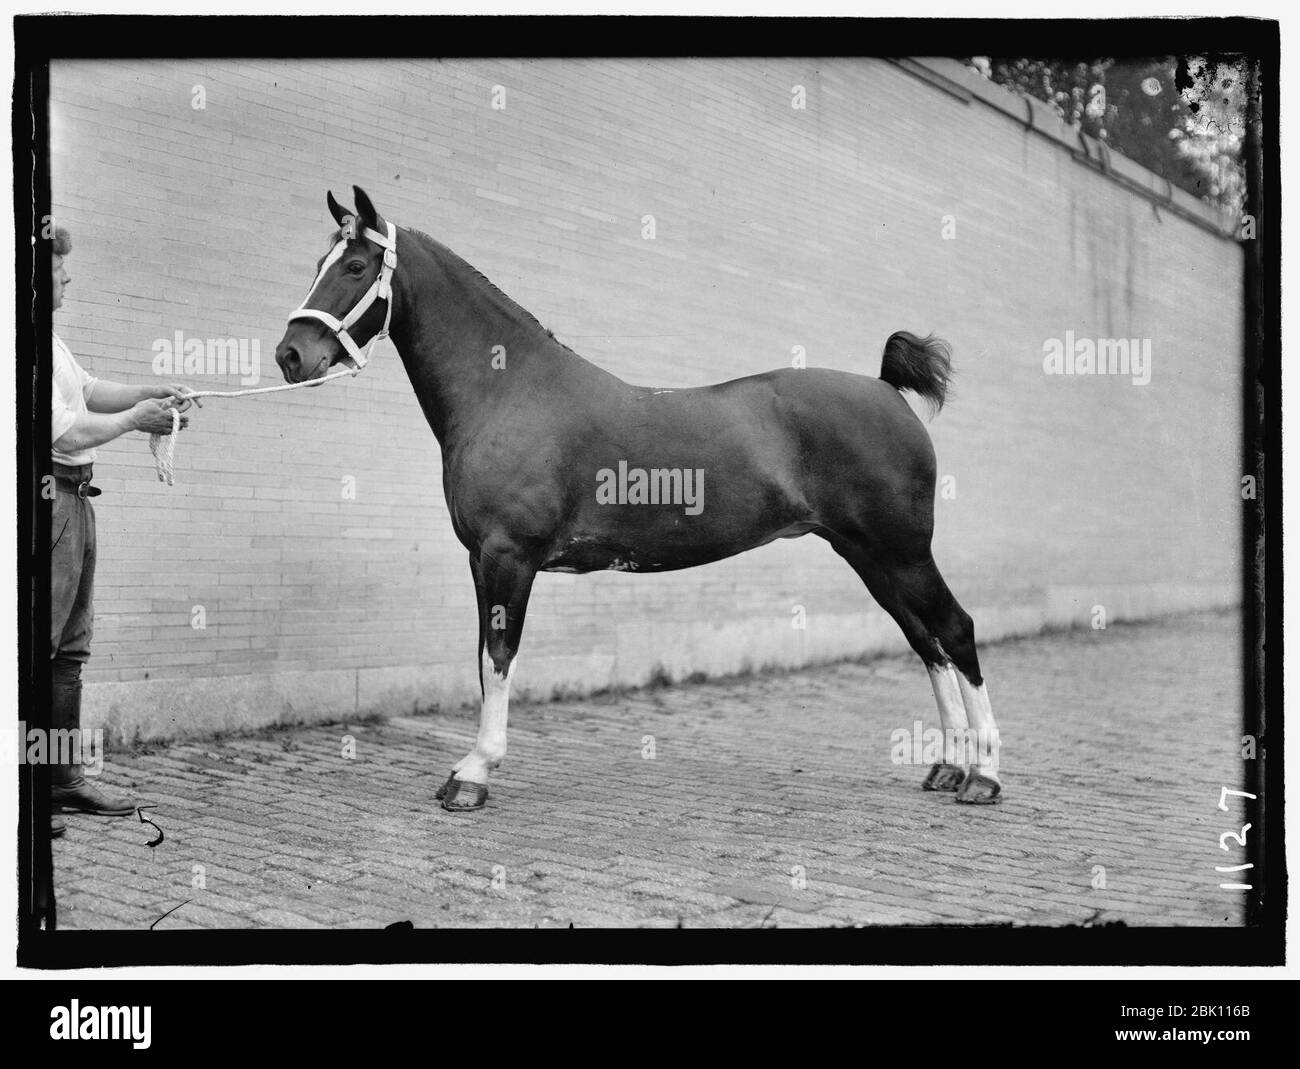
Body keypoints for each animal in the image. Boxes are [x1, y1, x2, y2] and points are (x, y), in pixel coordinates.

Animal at [271, 188, 1003, 811]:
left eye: (357, 265)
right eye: (318, 263)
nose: (290, 354)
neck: (507, 390)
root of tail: (887, 390)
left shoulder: (508, 557)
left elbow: (499, 659)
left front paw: (474, 774)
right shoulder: (483, 561)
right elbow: (484, 660)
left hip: (902, 553)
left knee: (955, 630)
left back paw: (984, 776)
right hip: (871, 557)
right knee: (926, 641)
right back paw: (946, 766)